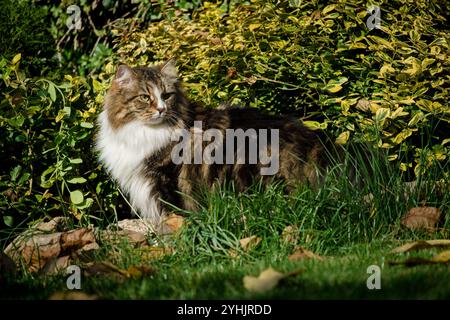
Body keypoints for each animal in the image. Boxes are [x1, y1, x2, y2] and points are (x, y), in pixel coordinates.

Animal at [97, 60, 338, 234]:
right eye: (145, 97)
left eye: (166, 95)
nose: (161, 109)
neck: (143, 132)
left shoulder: (166, 183)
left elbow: (173, 218)